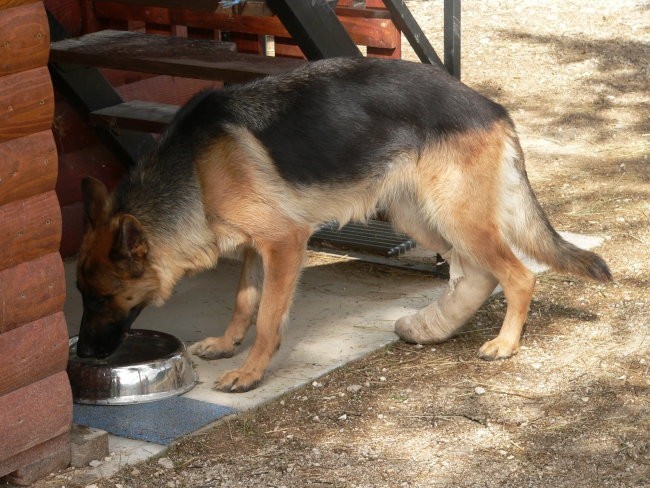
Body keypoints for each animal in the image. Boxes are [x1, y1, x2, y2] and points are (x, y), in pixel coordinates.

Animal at [76, 57, 608, 392]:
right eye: (82, 296)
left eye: (101, 298)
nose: (82, 356)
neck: (194, 171)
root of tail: (492, 107)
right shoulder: (254, 245)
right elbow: (244, 300)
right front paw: (228, 345)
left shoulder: (284, 243)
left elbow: (267, 318)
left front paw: (251, 372)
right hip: (416, 216)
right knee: (477, 271)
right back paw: (439, 325)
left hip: (454, 215)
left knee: (517, 274)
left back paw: (505, 343)